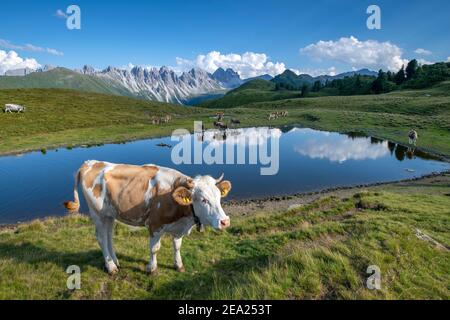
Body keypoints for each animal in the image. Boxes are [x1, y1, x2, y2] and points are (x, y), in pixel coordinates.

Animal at [65, 161, 234, 276]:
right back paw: (111, 267)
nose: (225, 221)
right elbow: (154, 248)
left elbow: (177, 246)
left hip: (109, 214)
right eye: (203, 199)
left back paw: (115, 262)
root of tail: (91, 163)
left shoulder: (178, 227)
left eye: (219, 196)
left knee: (108, 236)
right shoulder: (155, 225)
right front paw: (151, 269)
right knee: (101, 238)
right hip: (97, 214)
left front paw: (178, 265)